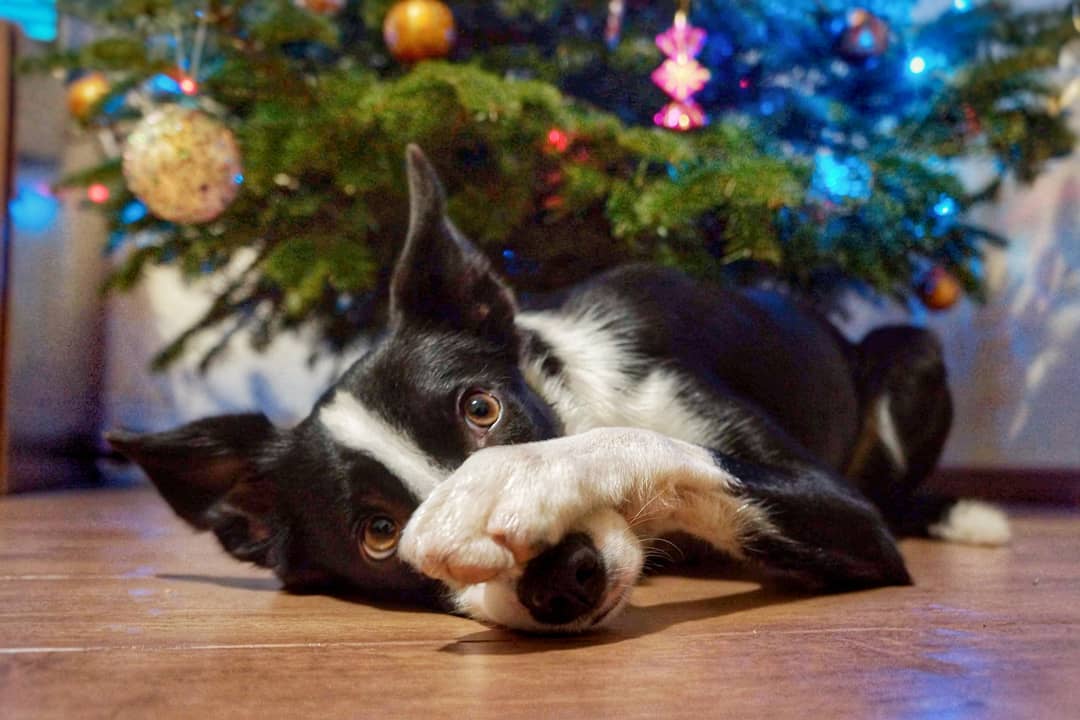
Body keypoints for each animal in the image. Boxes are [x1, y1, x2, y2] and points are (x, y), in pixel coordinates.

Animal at [108, 145, 1010, 632]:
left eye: (483, 408)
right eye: (378, 533)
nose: (563, 577)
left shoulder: (842, 514)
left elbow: (645, 439)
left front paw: (518, 481)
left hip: (909, 351)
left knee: (896, 487)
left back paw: (968, 516)